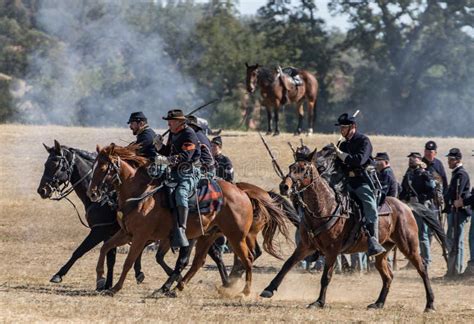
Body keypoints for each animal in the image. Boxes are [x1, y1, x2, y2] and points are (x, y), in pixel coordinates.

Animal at [36, 139, 143, 288]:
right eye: (46, 164)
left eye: (56, 164)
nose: (42, 190)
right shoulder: (108, 233)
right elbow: (110, 258)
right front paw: (106, 284)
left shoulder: (99, 231)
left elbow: (79, 251)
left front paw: (58, 275)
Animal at [87, 144, 290, 296]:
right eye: (94, 166)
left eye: (103, 168)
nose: (93, 193)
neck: (141, 195)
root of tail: (243, 193)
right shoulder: (127, 234)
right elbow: (105, 248)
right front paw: (100, 279)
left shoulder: (140, 237)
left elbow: (129, 261)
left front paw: (115, 287)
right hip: (207, 235)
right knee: (199, 261)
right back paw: (178, 286)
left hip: (236, 236)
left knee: (247, 258)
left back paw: (244, 291)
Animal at [262, 146, 436, 312]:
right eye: (291, 167)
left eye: (304, 168)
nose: (284, 187)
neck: (324, 208)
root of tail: (405, 206)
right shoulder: (305, 246)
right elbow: (287, 265)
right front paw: (269, 289)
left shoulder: (332, 251)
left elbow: (326, 277)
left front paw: (319, 302)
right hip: (382, 252)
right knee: (388, 276)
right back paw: (378, 303)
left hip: (409, 247)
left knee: (422, 269)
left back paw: (430, 304)